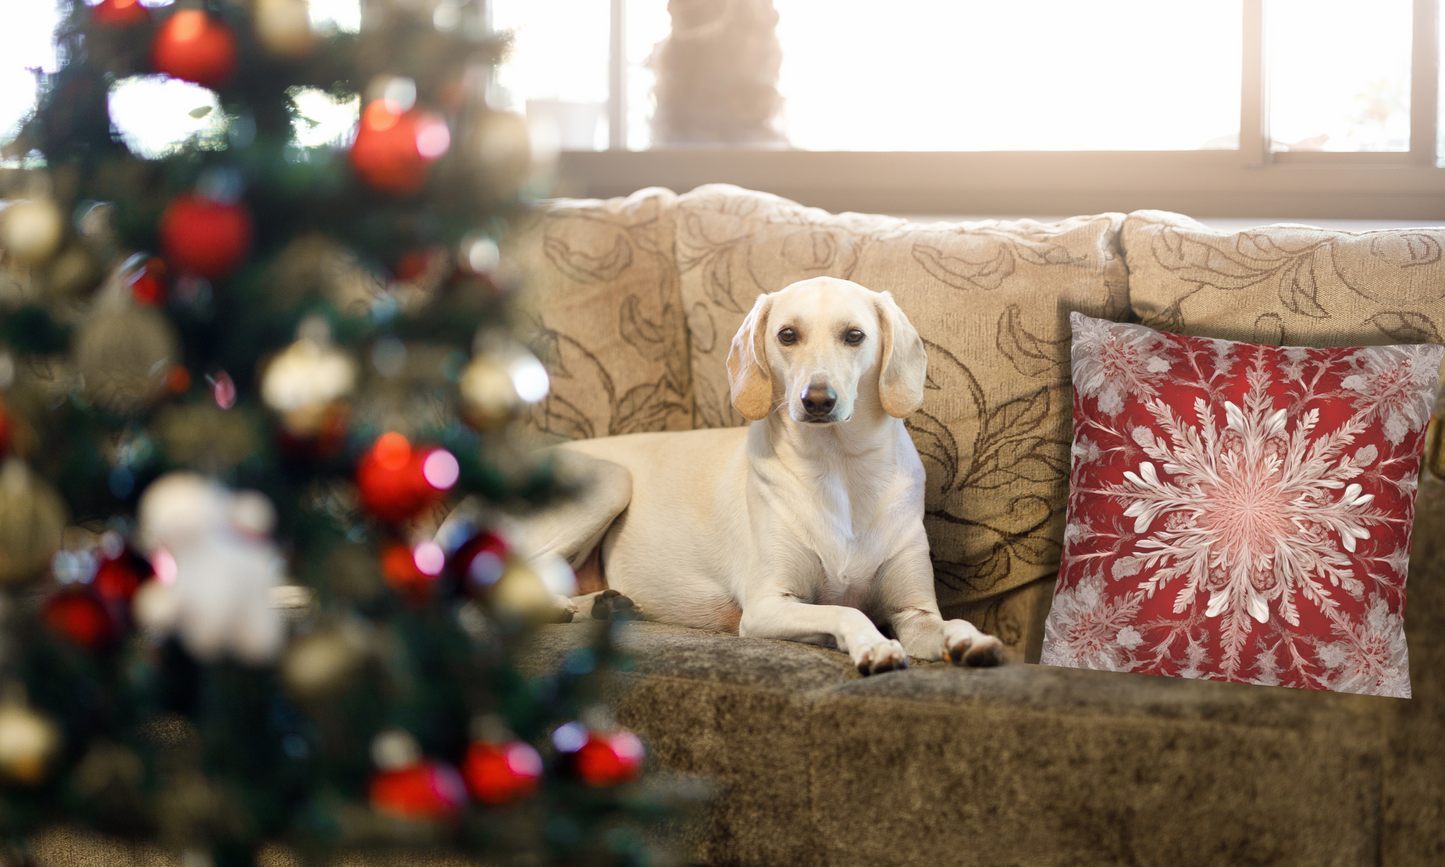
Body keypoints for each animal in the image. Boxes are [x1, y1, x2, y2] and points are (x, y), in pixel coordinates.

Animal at [520, 275, 1005, 670]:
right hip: (611, 482)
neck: (840, 467)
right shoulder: (766, 606)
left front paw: (973, 639)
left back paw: (602, 605)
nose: (817, 400)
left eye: (854, 336)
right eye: (787, 334)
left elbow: (947, 623)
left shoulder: (914, 611)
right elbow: (847, 610)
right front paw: (874, 644)